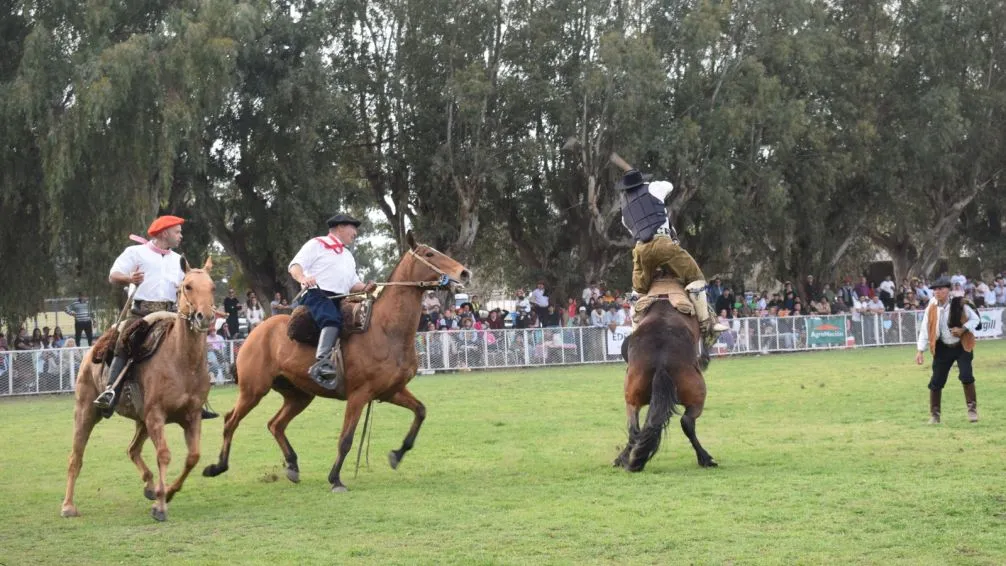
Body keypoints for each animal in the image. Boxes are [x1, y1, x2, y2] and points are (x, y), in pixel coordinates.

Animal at [61, 257, 218, 522]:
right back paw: (68, 506)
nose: (204, 317)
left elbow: (193, 457)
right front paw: (160, 507)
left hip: (141, 421)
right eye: (187, 286)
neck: (182, 362)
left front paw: (168, 492)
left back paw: (150, 486)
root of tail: (90, 353)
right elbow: (164, 454)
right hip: (85, 412)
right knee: (76, 457)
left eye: (213, 287)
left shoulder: (192, 416)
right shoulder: (156, 416)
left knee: (132, 450)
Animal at [204, 232, 470, 494]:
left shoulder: (391, 391)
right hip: (253, 390)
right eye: (429, 254)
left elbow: (420, 411)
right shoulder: (359, 395)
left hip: (299, 395)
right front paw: (335, 479)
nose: (464, 273)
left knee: (275, 424)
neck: (386, 330)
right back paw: (217, 467)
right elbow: (346, 440)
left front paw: (397, 454)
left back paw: (292, 466)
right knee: (231, 421)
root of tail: (254, 333)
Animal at [607, 301, 720, 474]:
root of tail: (662, 360)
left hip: (632, 397)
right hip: (697, 396)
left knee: (635, 428)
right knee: (687, 422)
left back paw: (625, 458)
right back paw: (706, 458)